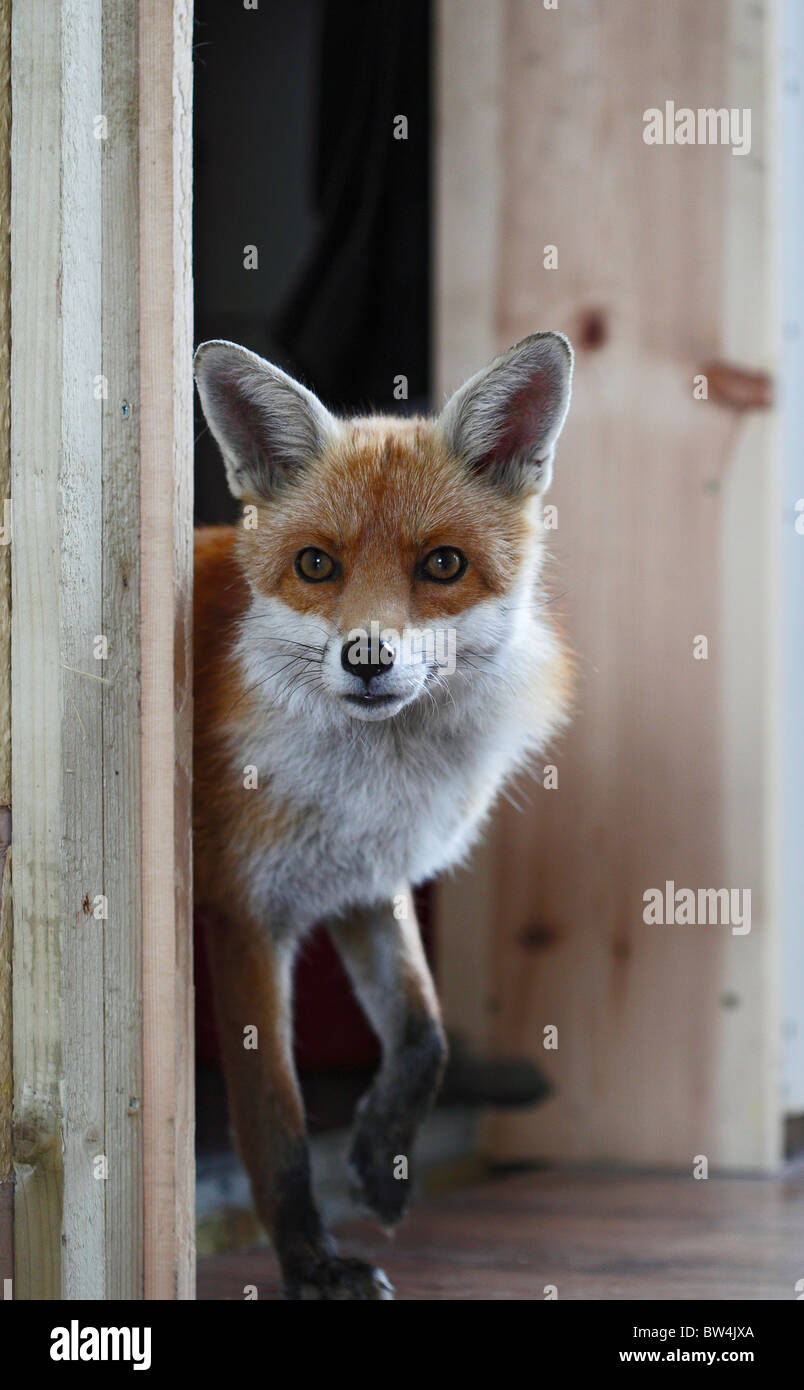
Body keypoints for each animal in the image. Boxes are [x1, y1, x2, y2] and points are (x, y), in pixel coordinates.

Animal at [191, 330, 570, 1295]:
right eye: (315, 564)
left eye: (442, 564)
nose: (366, 660)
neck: (372, 784)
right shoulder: (244, 914)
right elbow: (276, 1123)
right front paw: (311, 1262)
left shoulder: (367, 883)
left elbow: (425, 1033)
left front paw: (382, 1162)